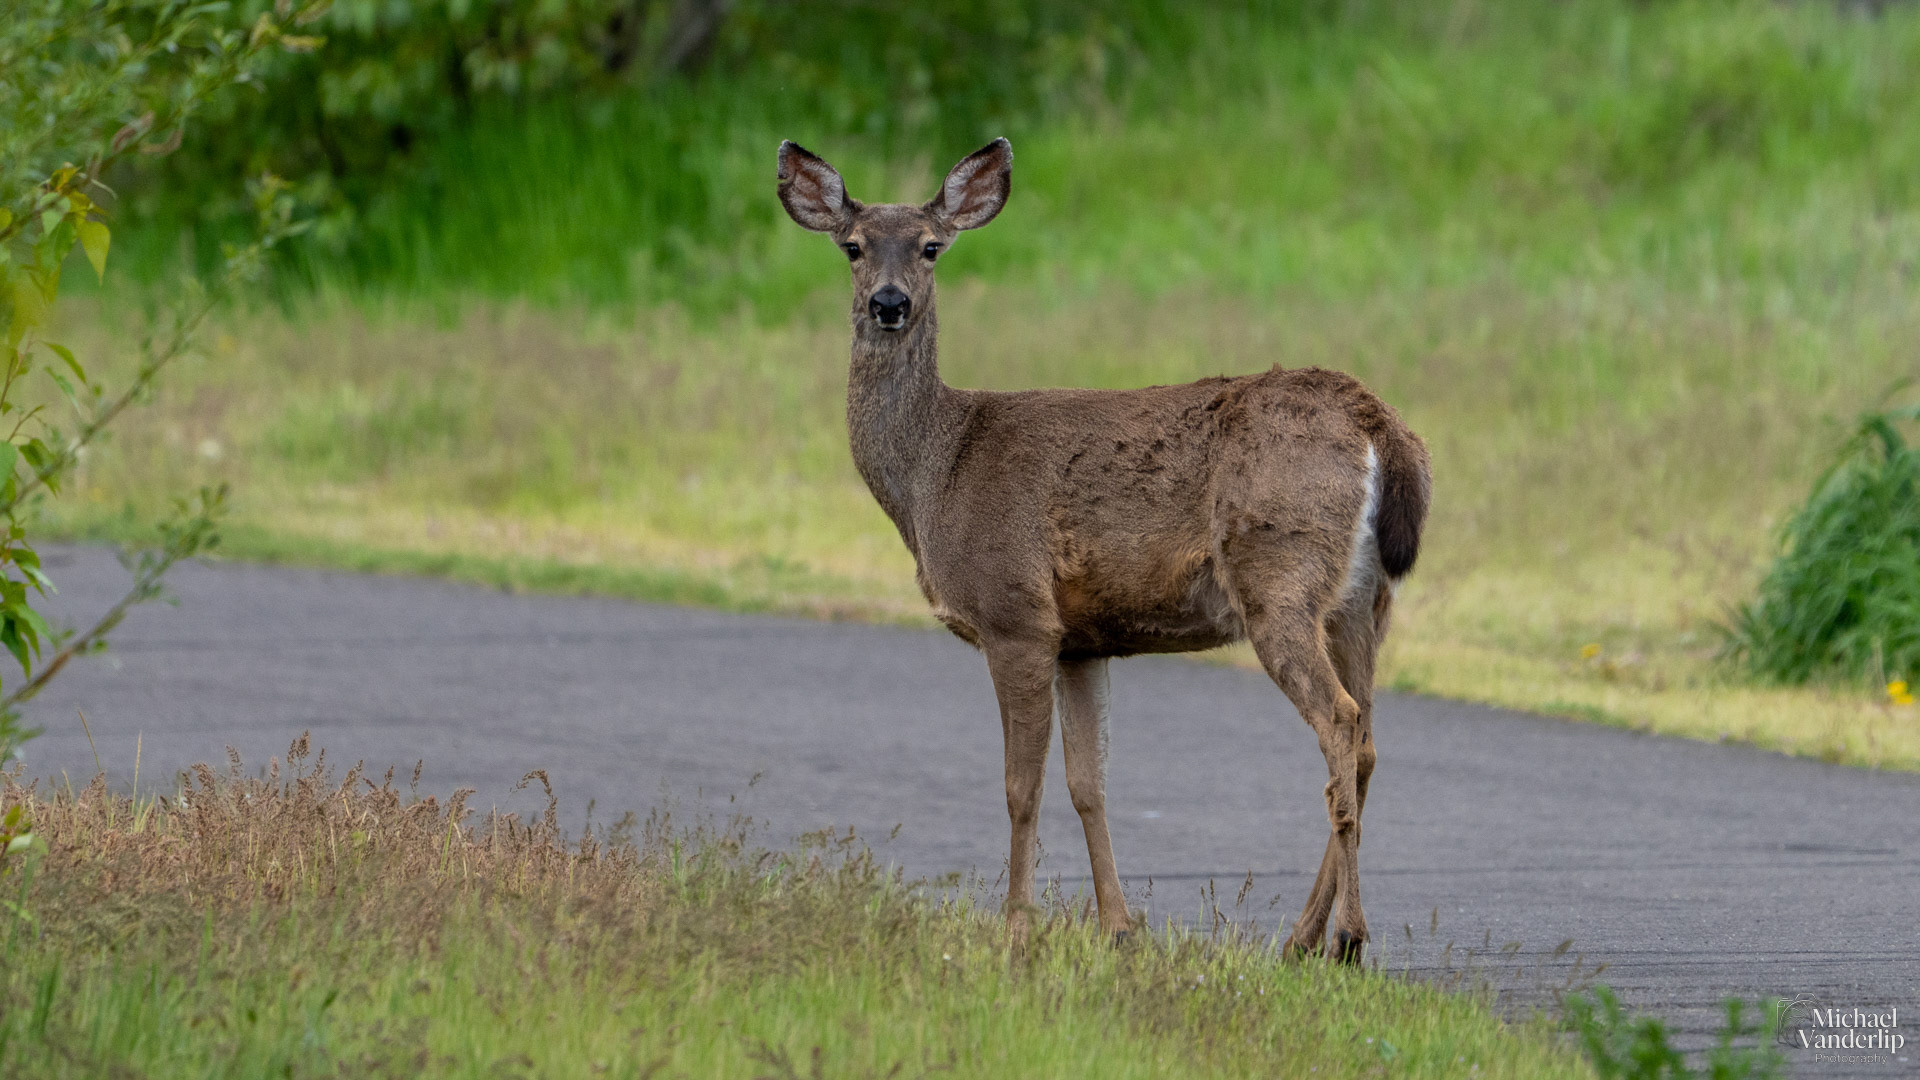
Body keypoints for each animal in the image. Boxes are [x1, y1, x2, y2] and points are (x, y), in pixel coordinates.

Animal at [776, 137, 1431, 963]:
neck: (936, 469)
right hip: (1364, 601)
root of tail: (1378, 422)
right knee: (1367, 739)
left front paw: (1016, 932)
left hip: (1279, 573)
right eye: (853, 246)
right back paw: (1300, 940)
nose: (888, 303)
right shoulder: (1082, 642)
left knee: (1340, 722)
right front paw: (1117, 928)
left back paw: (1345, 937)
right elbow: (1089, 783)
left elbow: (1020, 786)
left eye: (930, 247)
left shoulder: (1015, 615)